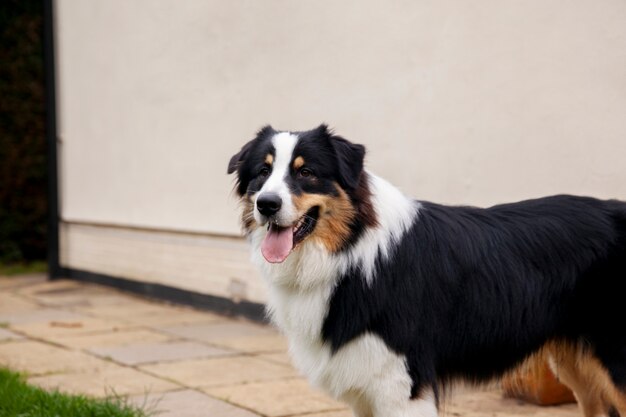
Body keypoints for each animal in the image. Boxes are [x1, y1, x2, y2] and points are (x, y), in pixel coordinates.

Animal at [228, 124, 624, 416]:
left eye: (306, 172)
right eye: (262, 172)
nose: (266, 205)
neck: (350, 250)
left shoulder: (400, 384)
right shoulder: (366, 382)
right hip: (577, 361)